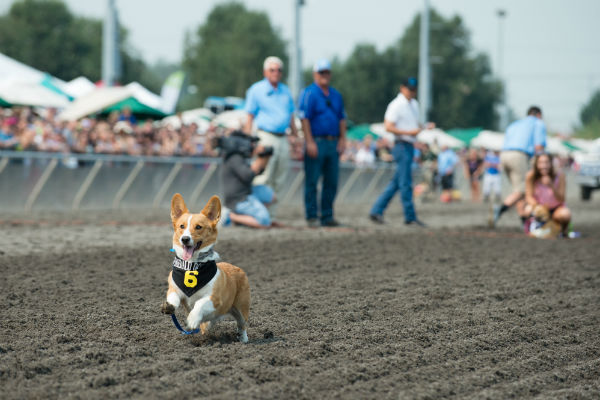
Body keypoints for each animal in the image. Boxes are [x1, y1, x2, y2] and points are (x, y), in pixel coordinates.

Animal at [161, 192, 250, 342]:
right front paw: (169, 306)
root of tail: (238, 268)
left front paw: (192, 319)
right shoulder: (174, 289)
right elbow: (173, 297)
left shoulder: (214, 298)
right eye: (181, 226)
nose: (185, 239)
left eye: (198, 227)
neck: (192, 265)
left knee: (241, 324)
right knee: (210, 323)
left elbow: (200, 303)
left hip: (241, 308)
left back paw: (243, 340)